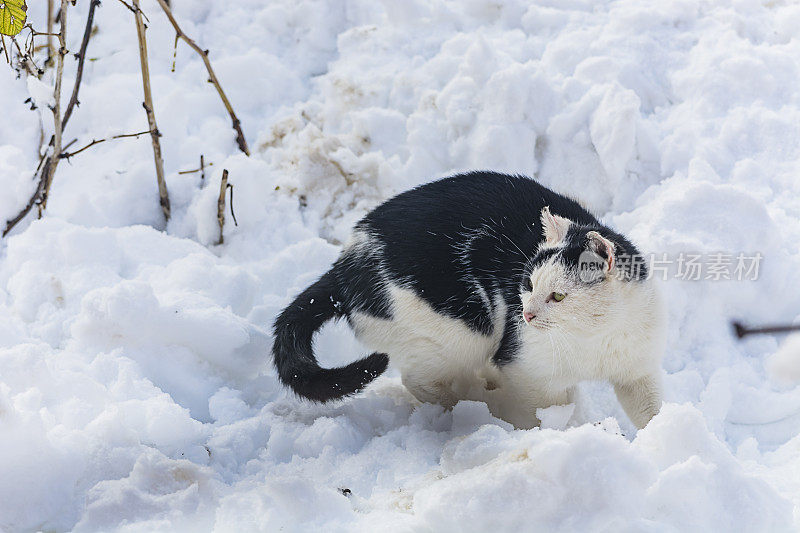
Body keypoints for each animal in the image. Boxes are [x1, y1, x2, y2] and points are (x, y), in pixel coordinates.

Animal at [272, 170, 664, 428]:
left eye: (557, 296)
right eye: (528, 283)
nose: (526, 314)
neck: (596, 337)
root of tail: (344, 266)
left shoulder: (638, 370)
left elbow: (650, 413)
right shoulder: (526, 369)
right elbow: (542, 413)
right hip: (464, 331)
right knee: (419, 381)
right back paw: (480, 403)